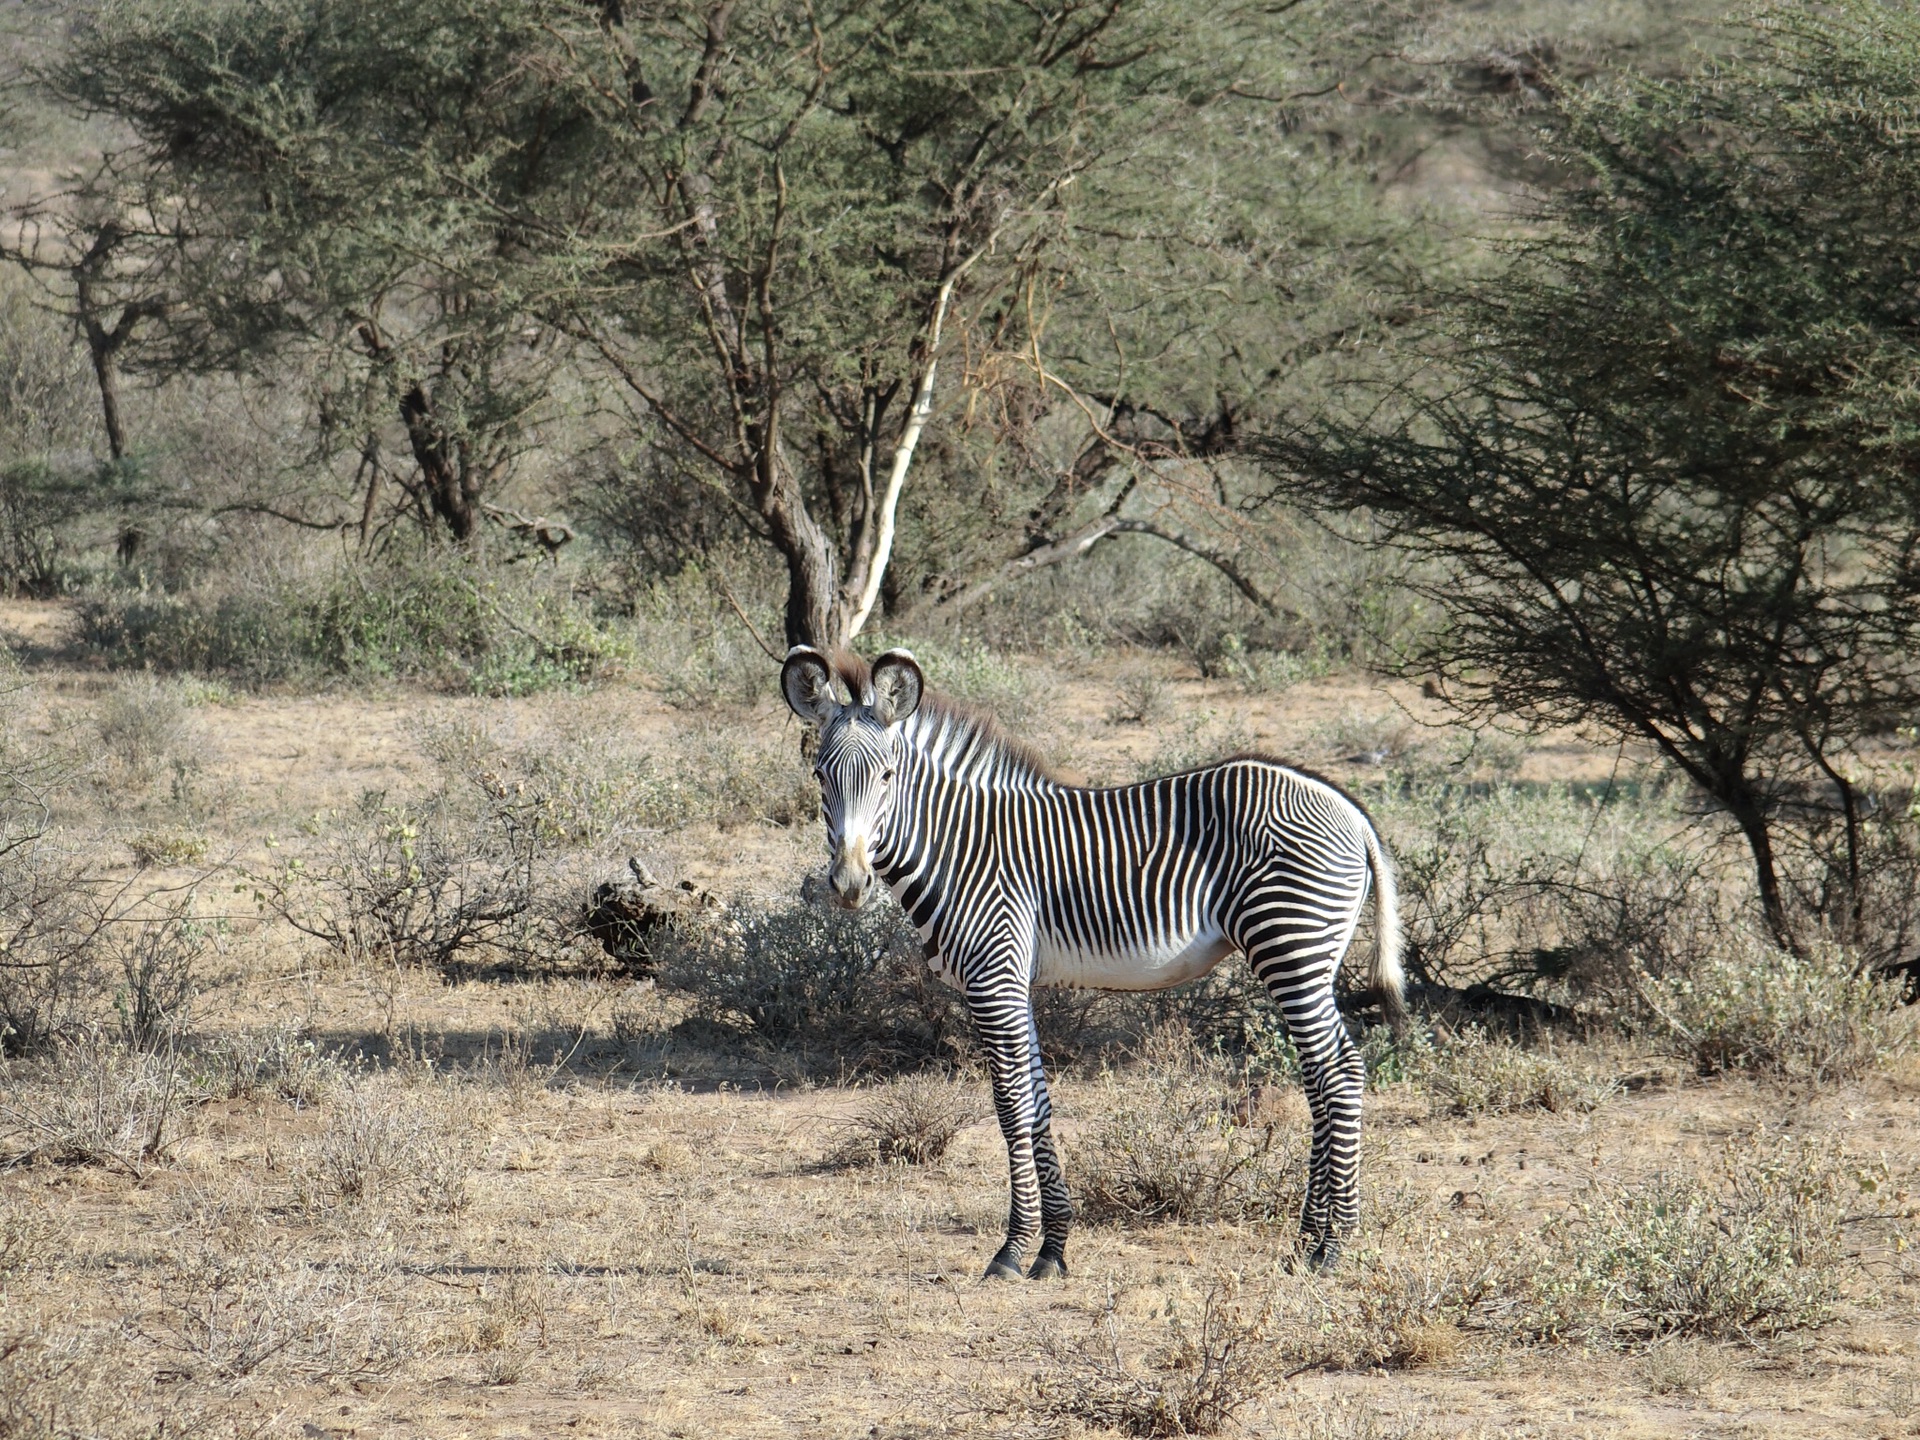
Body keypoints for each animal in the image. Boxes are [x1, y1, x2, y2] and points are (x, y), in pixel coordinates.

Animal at [783, 648, 1413, 1282]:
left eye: (887, 777)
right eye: (819, 777)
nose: (849, 885)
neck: (957, 849)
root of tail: (1348, 808)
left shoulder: (993, 978)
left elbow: (1010, 1105)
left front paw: (1011, 1250)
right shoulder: (1014, 983)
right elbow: (1036, 1101)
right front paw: (1052, 1248)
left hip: (1290, 944)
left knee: (1339, 1072)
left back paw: (1334, 1245)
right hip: (1306, 955)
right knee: (1323, 1074)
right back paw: (1307, 1241)